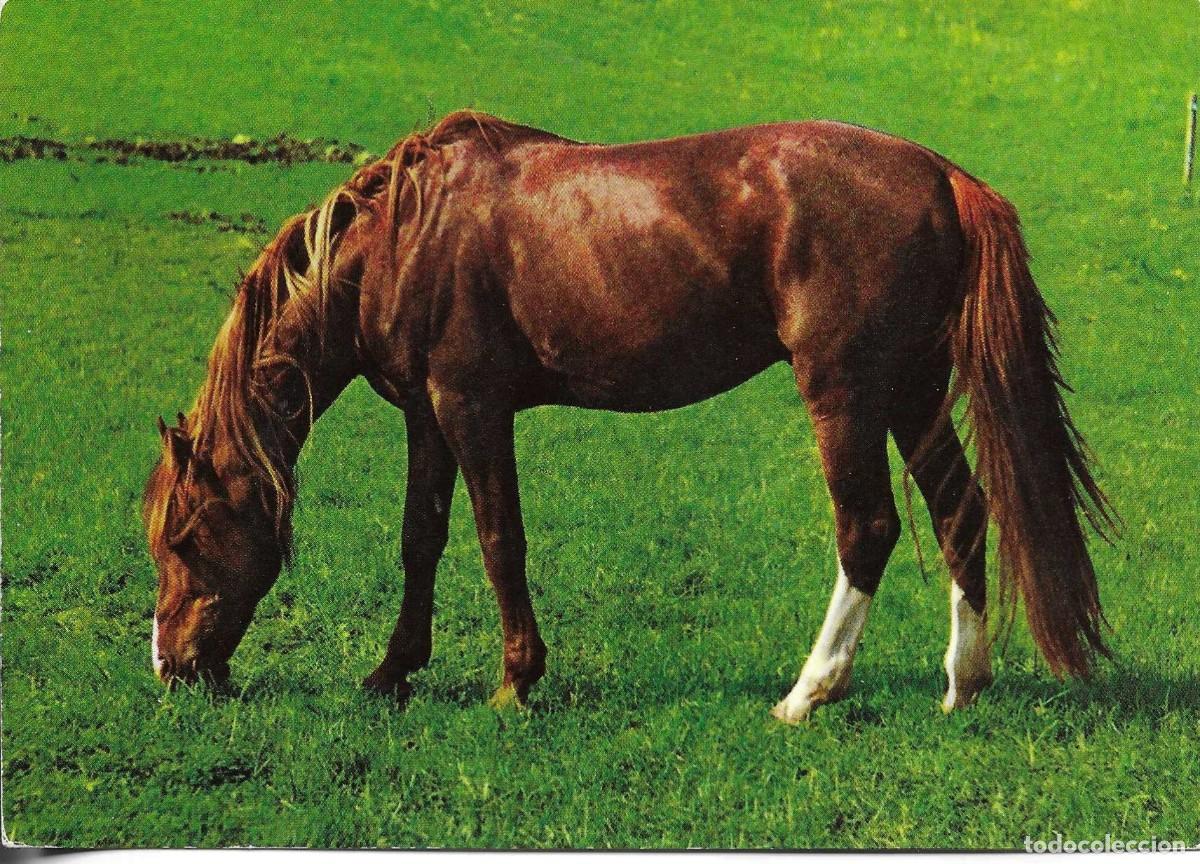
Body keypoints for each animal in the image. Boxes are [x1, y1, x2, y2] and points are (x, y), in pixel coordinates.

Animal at [144, 110, 1115, 721]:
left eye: (186, 537)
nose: (171, 668)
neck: (404, 239)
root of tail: (942, 176)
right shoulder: (427, 414)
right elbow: (422, 539)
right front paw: (391, 673)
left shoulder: (473, 406)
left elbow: (499, 539)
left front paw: (515, 682)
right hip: (910, 391)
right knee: (962, 510)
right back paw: (962, 684)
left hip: (845, 390)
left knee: (868, 527)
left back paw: (809, 693)